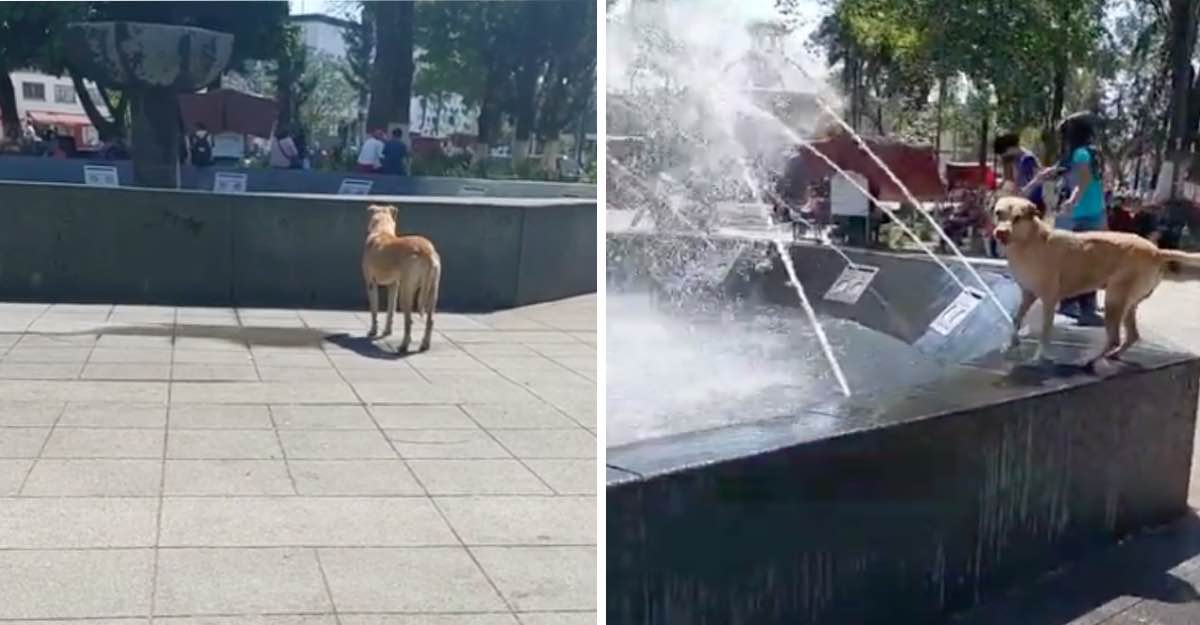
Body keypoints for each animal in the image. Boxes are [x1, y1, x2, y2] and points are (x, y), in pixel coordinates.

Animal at [364, 205, 446, 350]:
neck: (382, 231)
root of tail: (427, 250)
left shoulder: (371, 284)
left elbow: (374, 311)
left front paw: (373, 331)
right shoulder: (394, 285)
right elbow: (390, 311)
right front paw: (387, 331)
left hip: (407, 291)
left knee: (409, 321)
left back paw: (404, 345)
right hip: (432, 290)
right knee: (430, 320)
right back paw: (425, 344)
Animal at [993, 197, 1200, 362]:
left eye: (1018, 218)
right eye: (998, 213)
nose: (1000, 233)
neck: (1029, 240)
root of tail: (1156, 251)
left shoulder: (1049, 299)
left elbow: (1045, 331)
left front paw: (1038, 357)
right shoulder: (1027, 295)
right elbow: (1015, 319)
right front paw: (1011, 344)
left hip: (1114, 300)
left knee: (1115, 338)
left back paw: (1092, 359)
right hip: (1128, 304)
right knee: (1132, 336)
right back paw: (1112, 355)